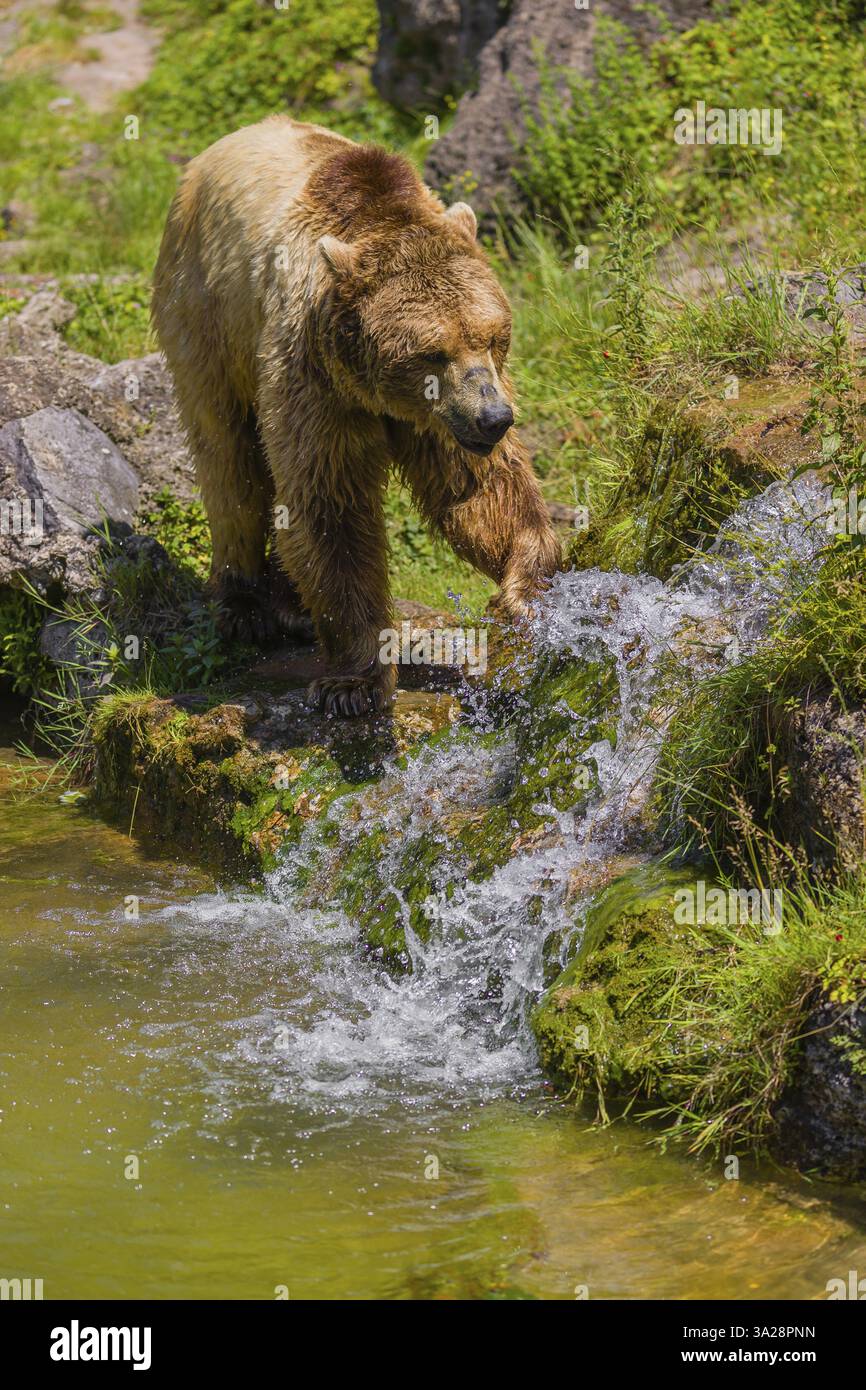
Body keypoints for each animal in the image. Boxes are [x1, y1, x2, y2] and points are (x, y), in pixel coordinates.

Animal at [152, 115, 560, 716]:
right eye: (432, 352)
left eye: (492, 336)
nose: (494, 419)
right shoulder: (314, 373)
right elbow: (329, 504)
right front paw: (354, 680)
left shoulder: (440, 420)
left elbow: (479, 489)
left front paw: (523, 587)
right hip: (206, 310)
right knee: (228, 457)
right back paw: (245, 605)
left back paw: (290, 604)